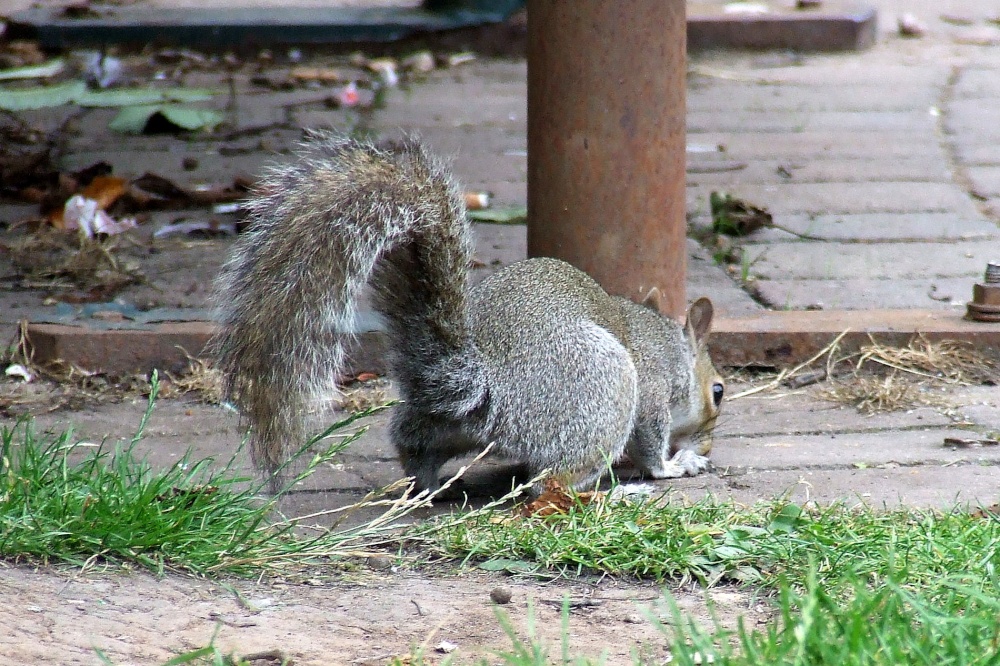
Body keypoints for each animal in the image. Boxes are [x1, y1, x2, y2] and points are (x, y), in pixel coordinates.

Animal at [213, 132, 728, 492]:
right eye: (718, 392)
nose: (708, 440)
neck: (666, 341)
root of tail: (481, 385)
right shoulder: (654, 390)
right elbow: (651, 441)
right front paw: (673, 464)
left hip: (441, 425)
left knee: (414, 444)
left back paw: (428, 486)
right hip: (606, 387)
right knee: (549, 483)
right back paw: (612, 491)